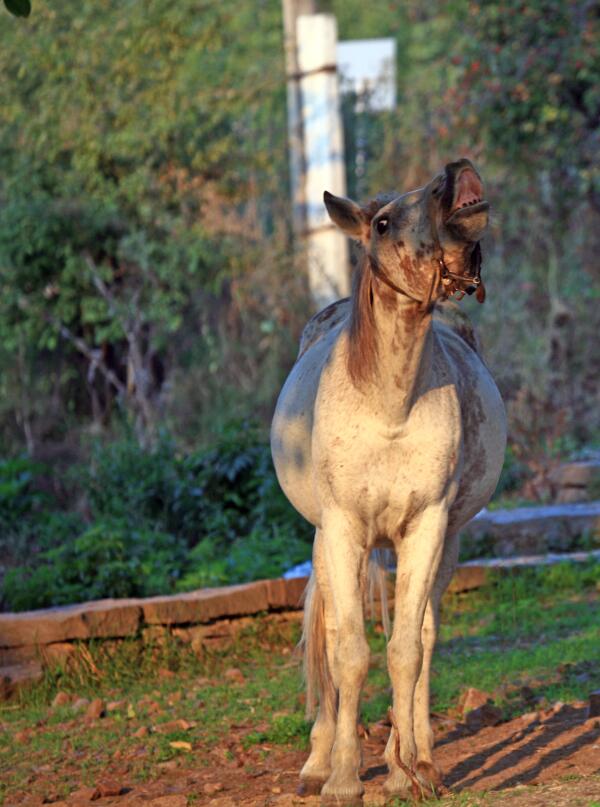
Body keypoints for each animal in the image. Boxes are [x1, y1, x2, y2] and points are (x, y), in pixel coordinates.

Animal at [270, 161, 506, 804]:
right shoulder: (343, 529)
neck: (388, 405)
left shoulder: (426, 528)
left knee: (423, 634)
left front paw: (407, 772)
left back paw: (417, 753)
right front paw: (343, 778)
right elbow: (349, 652)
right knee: (329, 634)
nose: (458, 177)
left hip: (439, 545)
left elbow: (405, 650)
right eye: (380, 222)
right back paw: (318, 761)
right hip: (327, 543)